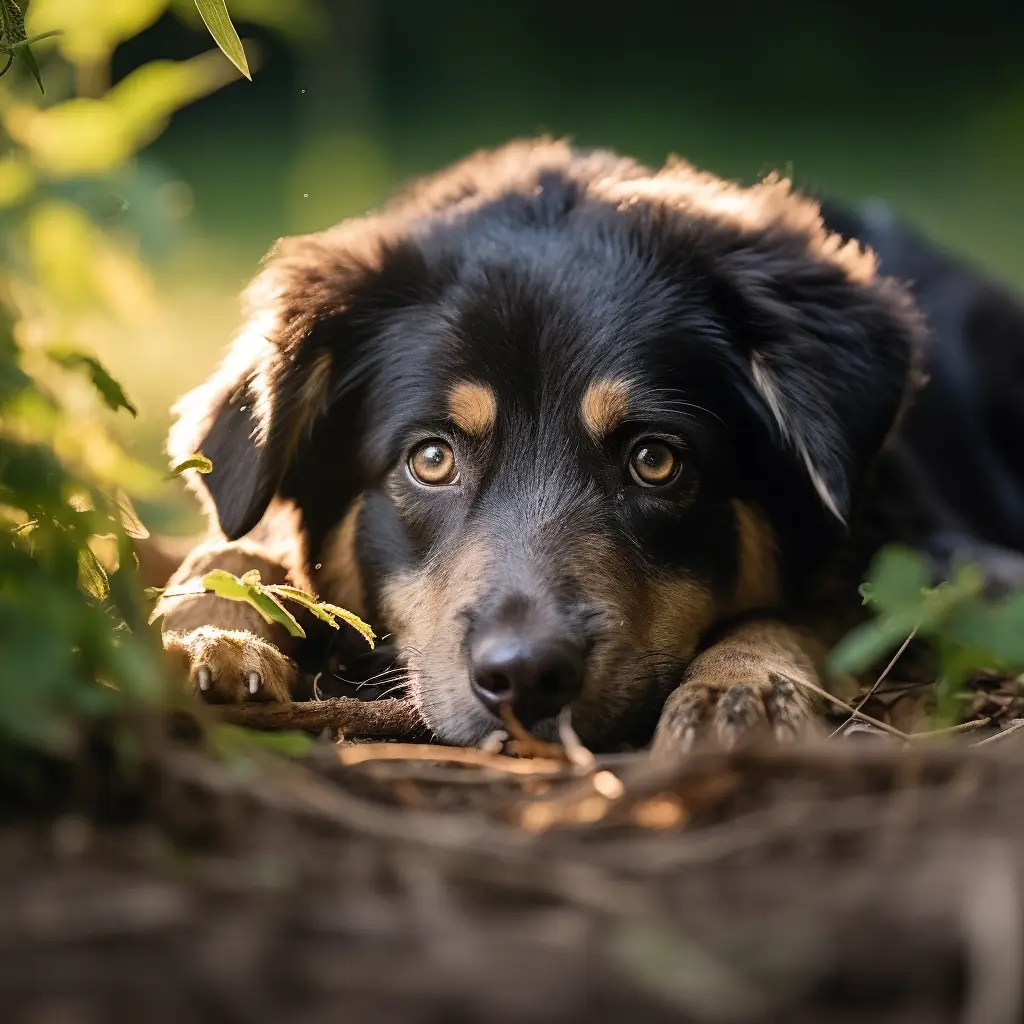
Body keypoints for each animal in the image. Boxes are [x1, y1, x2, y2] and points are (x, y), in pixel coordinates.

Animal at [151, 138, 1024, 753]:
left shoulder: (930, 549)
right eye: (430, 459)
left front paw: (740, 685)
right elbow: (235, 545)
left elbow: (804, 606)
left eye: (655, 460)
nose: (526, 678)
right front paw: (214, 630)